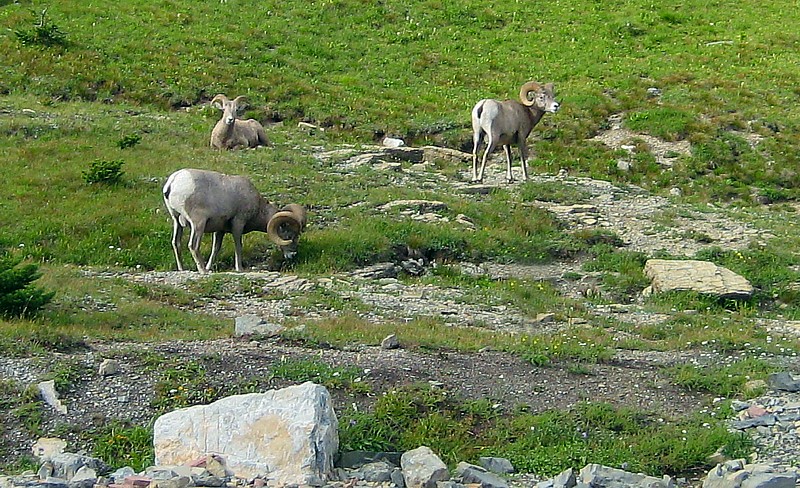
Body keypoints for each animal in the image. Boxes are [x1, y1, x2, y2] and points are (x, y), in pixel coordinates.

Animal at [164, 169, 308, 272]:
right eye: (289, 236)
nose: (293, 255)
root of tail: (173, 182)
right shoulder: (238, 223)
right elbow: (238, 246)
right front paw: (239, 269)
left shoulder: (220, 230)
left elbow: (215, 249)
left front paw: (210, 267)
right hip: (198, 224)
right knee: (193, 245)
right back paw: (203, 271)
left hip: (177, 221)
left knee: (176, 243)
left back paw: (182, 269)